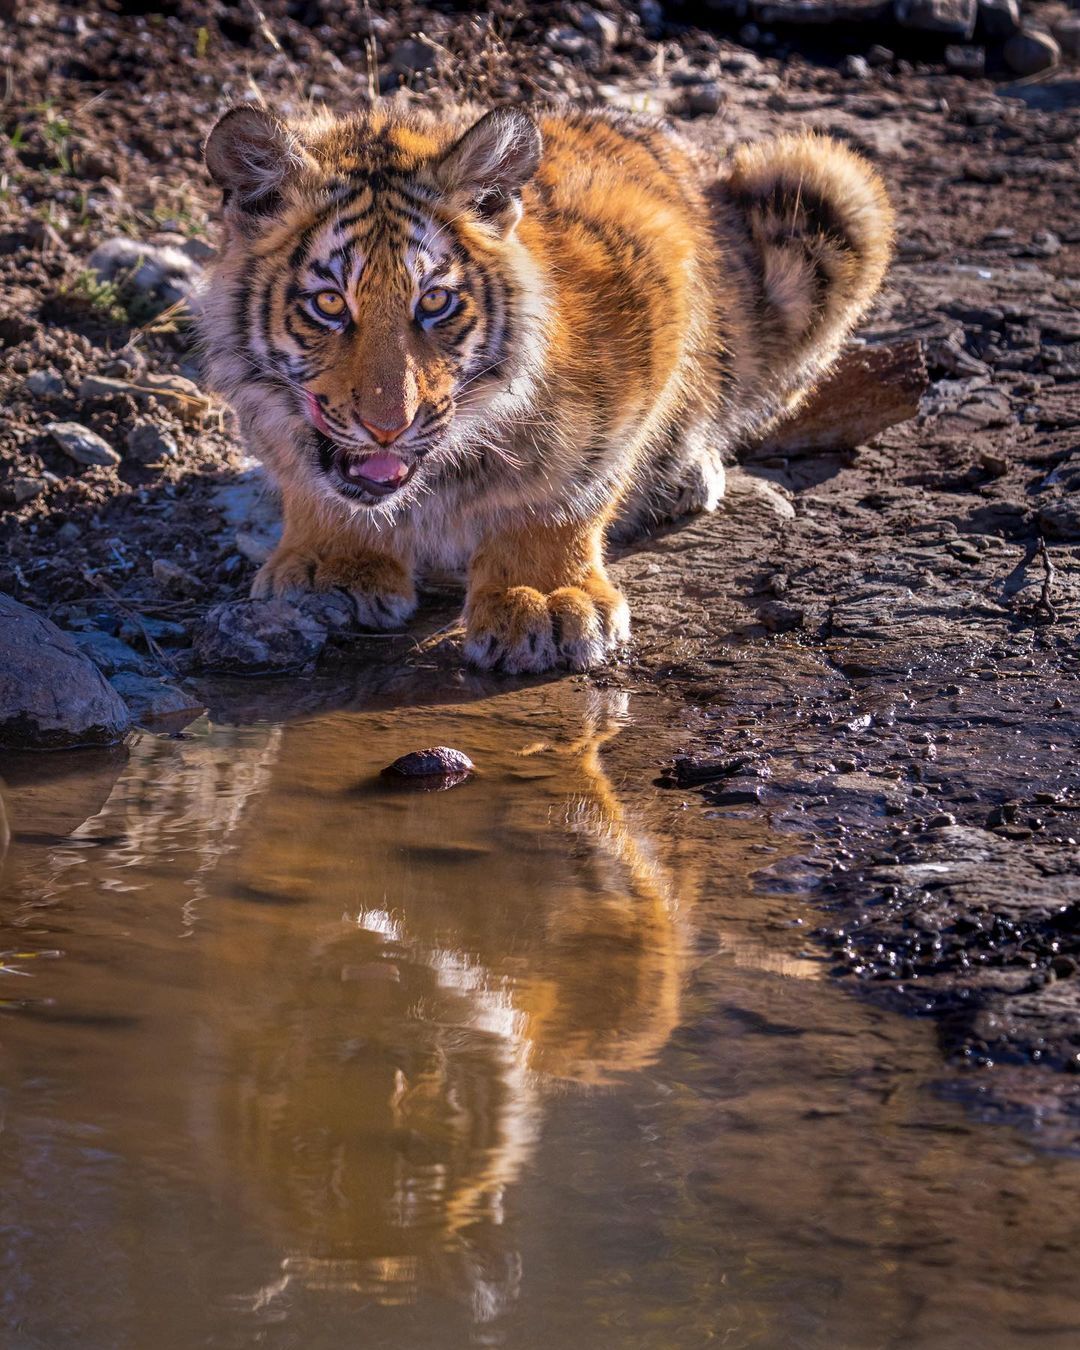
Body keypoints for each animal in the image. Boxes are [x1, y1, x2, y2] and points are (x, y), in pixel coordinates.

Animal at [198, 102, 891, 672]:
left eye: (436, 302)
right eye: (328, 304)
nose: (388, 427)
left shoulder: (645, 302)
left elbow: (563, 492)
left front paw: (542, 599)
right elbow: (312, 483)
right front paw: (333, 566)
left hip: (828, 190)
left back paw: (685, 475)